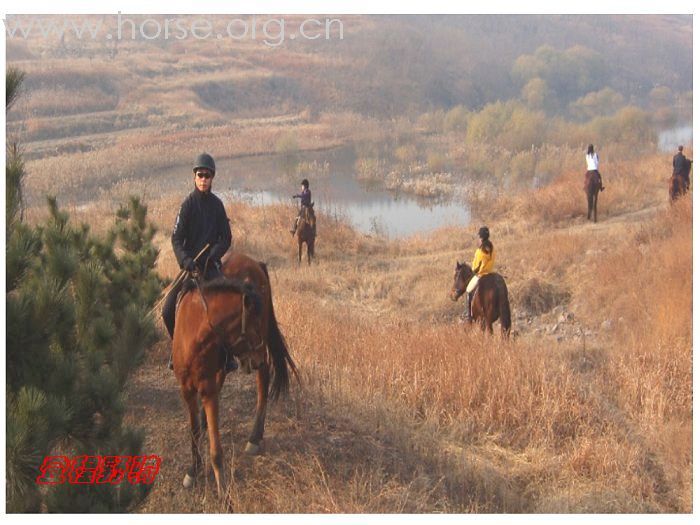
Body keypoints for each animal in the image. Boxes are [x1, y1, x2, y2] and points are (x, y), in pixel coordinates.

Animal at [174, 252, 300, 494]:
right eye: (251, 326)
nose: (256, 359)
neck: (194, 335)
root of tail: (254, 262)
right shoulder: (186, 389)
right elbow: (194, 431)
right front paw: (192, 470)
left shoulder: (207, 389)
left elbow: (216, 448)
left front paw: (221, 488)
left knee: (264, 378)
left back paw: (254, 438)